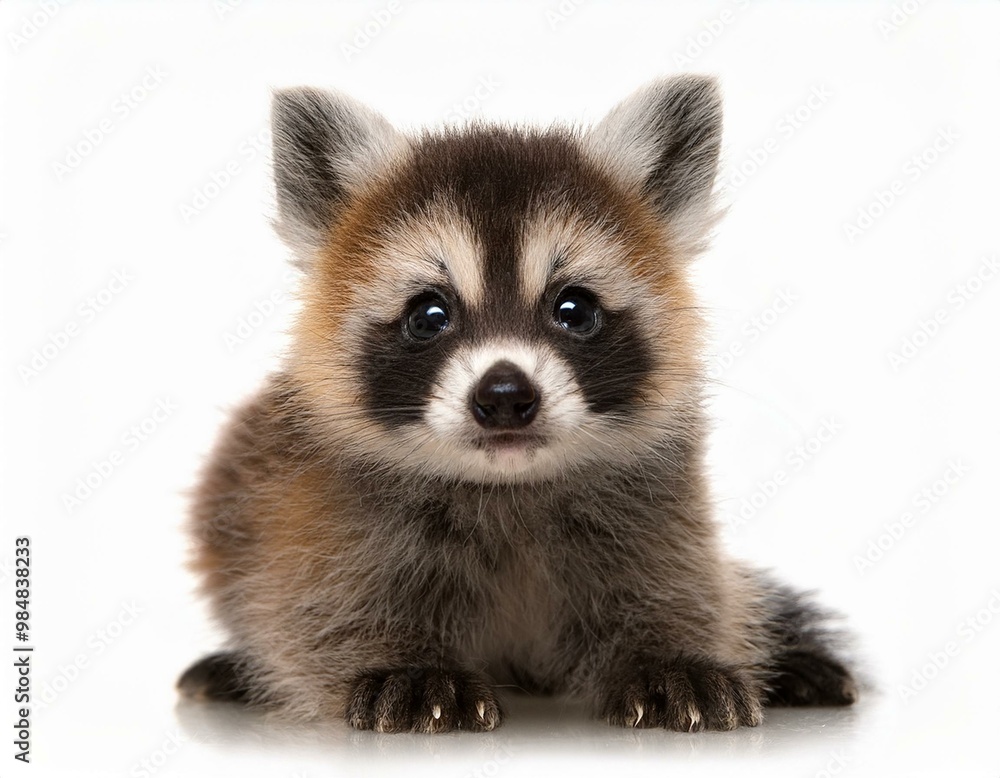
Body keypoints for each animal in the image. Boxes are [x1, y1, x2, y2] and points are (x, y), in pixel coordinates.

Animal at [178, 76, 857, 733]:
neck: (508, 485)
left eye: (574, 309)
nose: (504, 396)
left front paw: (669, 650)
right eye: (429, 315)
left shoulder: (653, 499)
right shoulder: (315, 506)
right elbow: (310, 608)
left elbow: (676, 578)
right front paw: (396, 659)